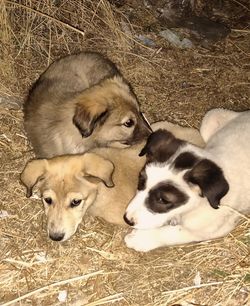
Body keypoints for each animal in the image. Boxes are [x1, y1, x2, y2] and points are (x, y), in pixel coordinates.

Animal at [124, 109, 250, 252]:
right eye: (141, 181)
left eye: (163, 200)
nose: (127, 219)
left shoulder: (213, 228)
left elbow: (175, 232)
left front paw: (141, 239)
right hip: (210, 117)